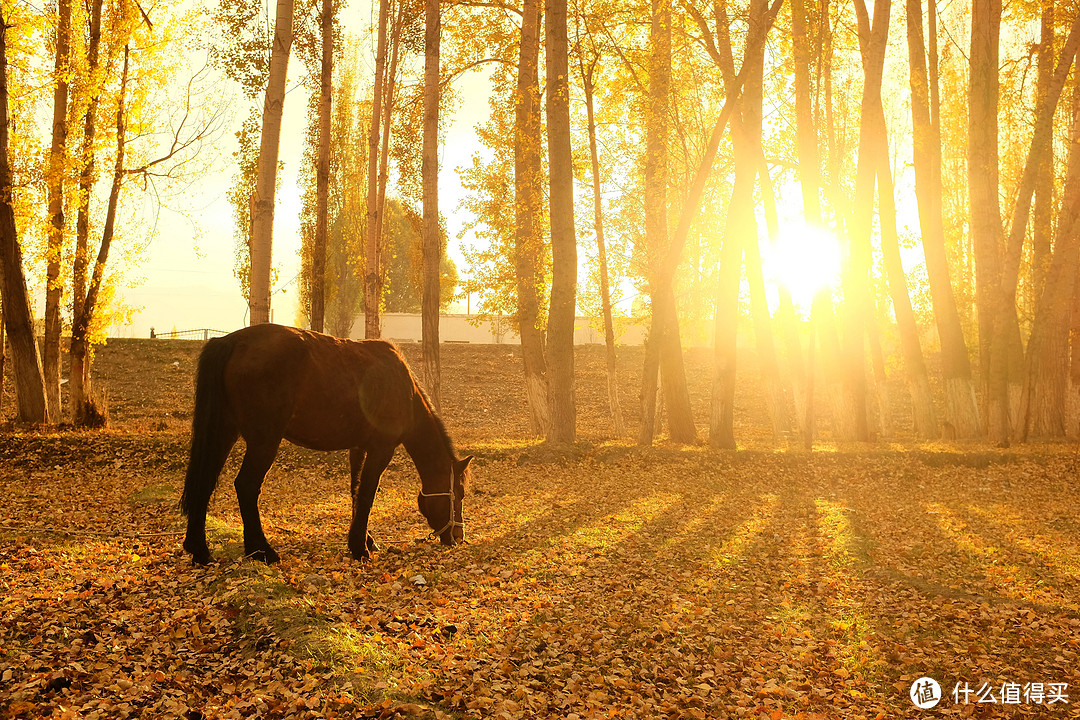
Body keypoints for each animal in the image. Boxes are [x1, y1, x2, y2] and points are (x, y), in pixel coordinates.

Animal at [179, 323, 470, 565]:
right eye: (460, 493)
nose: (458, 536)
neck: (402, 387)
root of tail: (233, 341)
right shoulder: (381, 449)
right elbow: (367, 495)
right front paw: (359, 548)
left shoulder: (359, 449)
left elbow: (356, 492)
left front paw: (365, 540)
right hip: (264, 441)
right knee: (246, 486)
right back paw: (261, 550)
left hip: (224, 433)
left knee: (205, 482)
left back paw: (200, 550)